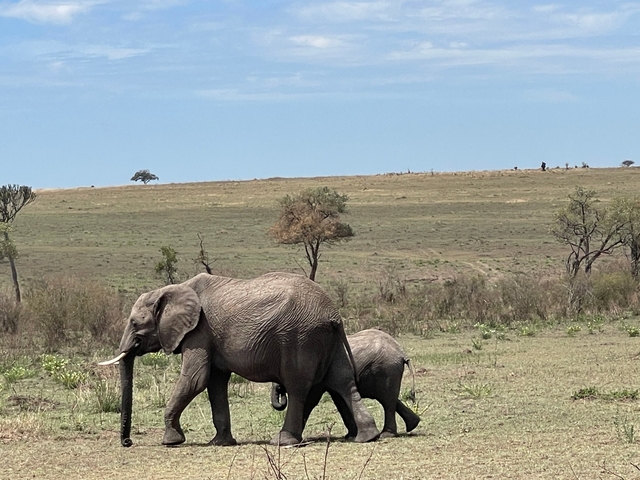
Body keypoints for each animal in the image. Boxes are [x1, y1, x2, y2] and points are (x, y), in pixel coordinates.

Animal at [99, 272, 380, 447]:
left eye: (135, 323)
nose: (127, 442)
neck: (173, 289)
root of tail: (334, 314)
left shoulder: (199, 332)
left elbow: (195, 379)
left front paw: (171, 442)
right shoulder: (210, 338)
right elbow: (214, 384)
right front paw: (220, 443)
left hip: (299, 337)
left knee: (298, 386)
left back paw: (283, 442)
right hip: (328, 341)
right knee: (343, 382)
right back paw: (367, 437)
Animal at [271, 328, 420, 438]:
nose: (280, 390)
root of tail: (402, 353)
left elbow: (312, 399)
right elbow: (339, 399)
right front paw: (350, 436)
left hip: (386, 368)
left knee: (387, 400)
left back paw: (387, 435)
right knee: (388, 397)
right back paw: (413, 424)